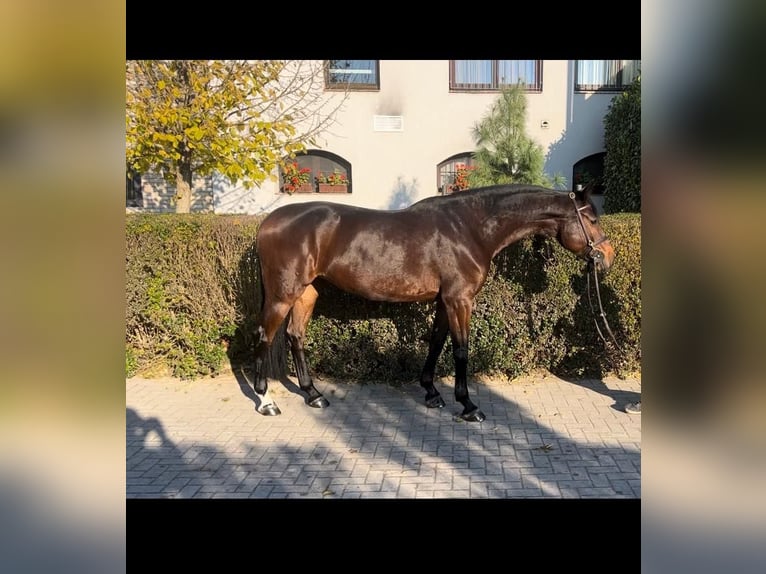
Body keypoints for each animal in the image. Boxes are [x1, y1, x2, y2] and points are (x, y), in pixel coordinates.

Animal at [250, 183, 615, 422]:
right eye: (592, 219)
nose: (607, 256)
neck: (470, 227)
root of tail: (268, 222)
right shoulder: (459, 300)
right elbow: (460, 350)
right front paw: (468, 406)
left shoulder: (444, 301)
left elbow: (436, 343)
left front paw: (432, 393)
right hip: (283, 294)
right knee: (265, 337)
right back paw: (266, 400)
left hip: (307, 292)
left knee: (295, 336)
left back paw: (314, 395)